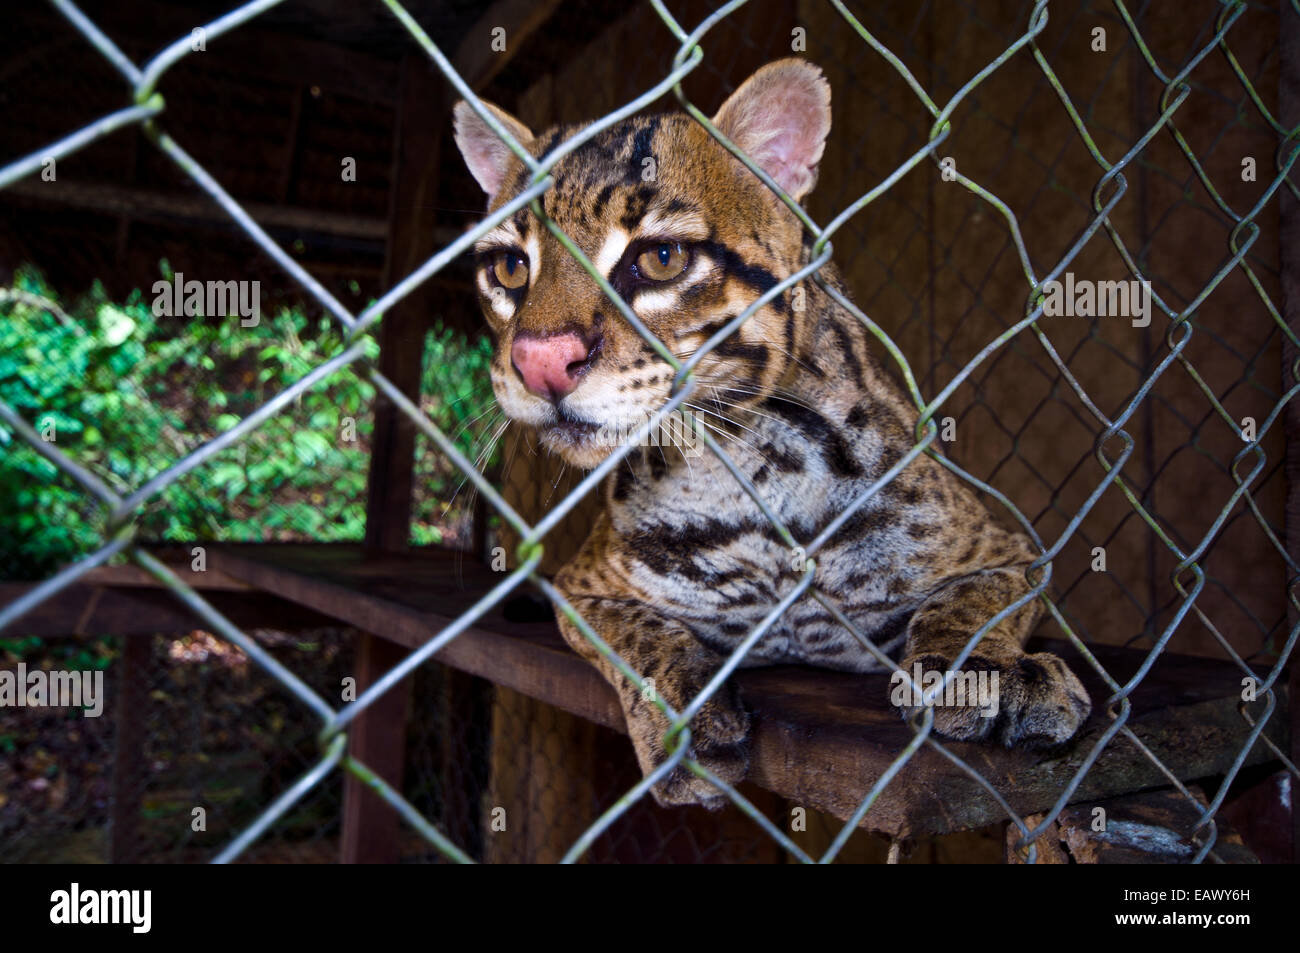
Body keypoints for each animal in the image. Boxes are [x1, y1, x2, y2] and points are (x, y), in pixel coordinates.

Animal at [452, 59, 1092, 800]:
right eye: (510, 268)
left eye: (663, 257)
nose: (539, 363)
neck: (744, 463)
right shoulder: (584, 586)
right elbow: (643, 632)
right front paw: (681, 713)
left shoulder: (1009, 550)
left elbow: (970, 601)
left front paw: (994, 669)